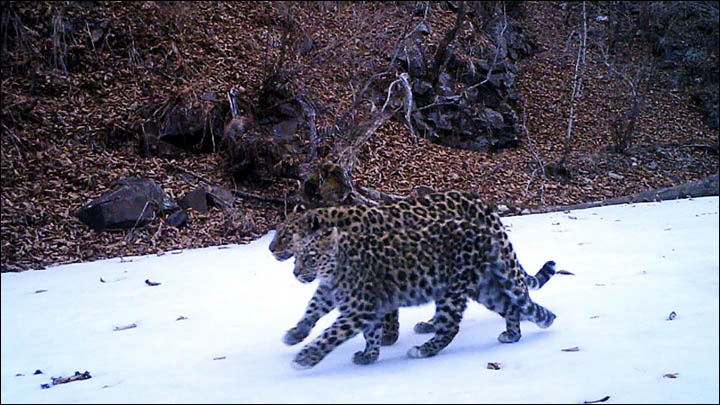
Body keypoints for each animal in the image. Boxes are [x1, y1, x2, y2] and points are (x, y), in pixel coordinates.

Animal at [268, 190, 556, 348]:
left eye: (286, 235)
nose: (270, 248)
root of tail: (482, 203)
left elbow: (388, 313)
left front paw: (387, 337)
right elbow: (315, 307)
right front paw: (297, 333)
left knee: (517, 289)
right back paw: (430, 326)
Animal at [288, 221, 556, 370]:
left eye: (311, 257)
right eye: (296, 257)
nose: (295, 273)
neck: (335, 271)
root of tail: (485, 232)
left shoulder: (359, 308)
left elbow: (331, 334)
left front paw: (305, 358)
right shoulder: (337, 295)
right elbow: (314, 308)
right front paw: (296, 334)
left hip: (451, 291)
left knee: (450, 328)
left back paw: (423, 350)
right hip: (485, 287)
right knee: (511, 307)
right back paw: (513, 335)